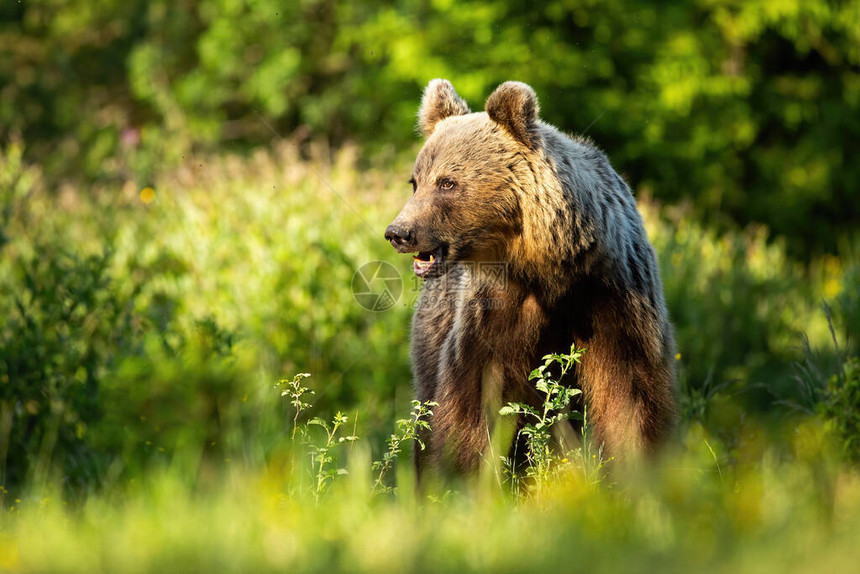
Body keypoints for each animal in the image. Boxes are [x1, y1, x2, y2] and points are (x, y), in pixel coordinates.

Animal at [386, 79, 676, 480]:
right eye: (416, 182)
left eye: (447, 183)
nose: (400, 232)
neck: (548, 269)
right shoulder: (494, 312)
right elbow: (473, 400)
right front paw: (462, 472)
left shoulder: (613, 298)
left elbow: (629, 395)